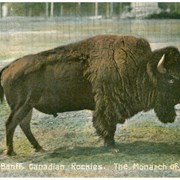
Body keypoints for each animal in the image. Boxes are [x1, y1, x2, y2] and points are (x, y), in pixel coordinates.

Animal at [0, 35, 180, 156]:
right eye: (171, 79)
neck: (142, 68)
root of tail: (8, 68)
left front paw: (110, 144)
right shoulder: (108, 106)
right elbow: (107, 125)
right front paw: (112, 145)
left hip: (28, 107)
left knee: (24, 125)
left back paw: (39, 148)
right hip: (22, 105)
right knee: (11, 124)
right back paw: (11, 152)